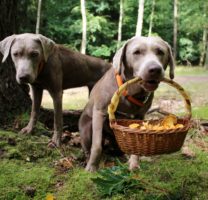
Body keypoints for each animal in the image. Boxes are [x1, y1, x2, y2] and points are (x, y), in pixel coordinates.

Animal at [79, 36, 175, 172]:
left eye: (160, 52)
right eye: (137, 52)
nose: (155, 69)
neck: (131, 91)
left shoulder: (140, 117)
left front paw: (134, 165)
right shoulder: (99, 112)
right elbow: (96, 146)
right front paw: (91, 168)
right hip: (86, 128)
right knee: (89, 146)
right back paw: (88, 160)